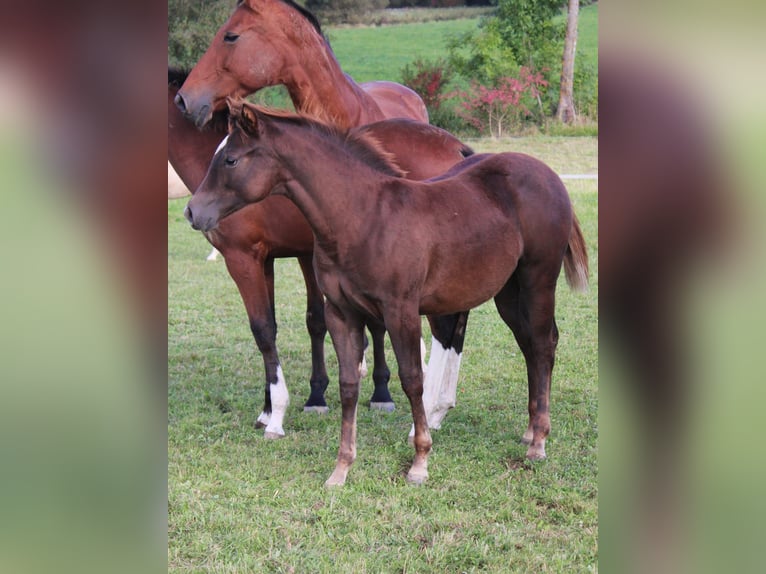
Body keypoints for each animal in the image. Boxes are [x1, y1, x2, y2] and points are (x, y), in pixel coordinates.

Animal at [174, 0, 469, 434]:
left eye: (231, 35)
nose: (185, 100)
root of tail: (457, 148)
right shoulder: (284, 255)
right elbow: (301, 322)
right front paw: (288, 403)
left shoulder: (245, 257)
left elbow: (266, 328)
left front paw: (281, 412)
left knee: (444, 326)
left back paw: (429, 411)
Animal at [185, 102, 589, 486]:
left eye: (231, 158)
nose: (192, 211)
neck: (363, 218)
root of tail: (549, 175)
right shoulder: (341, 313)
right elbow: (349, 384)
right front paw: (341, 469)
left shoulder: (401, 310)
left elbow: (412, 379)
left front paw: (420, 462)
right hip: (507, 291)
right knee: (529, 346)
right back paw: (530, 431)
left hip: (538, 280)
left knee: (543, 343)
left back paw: (539, 442)